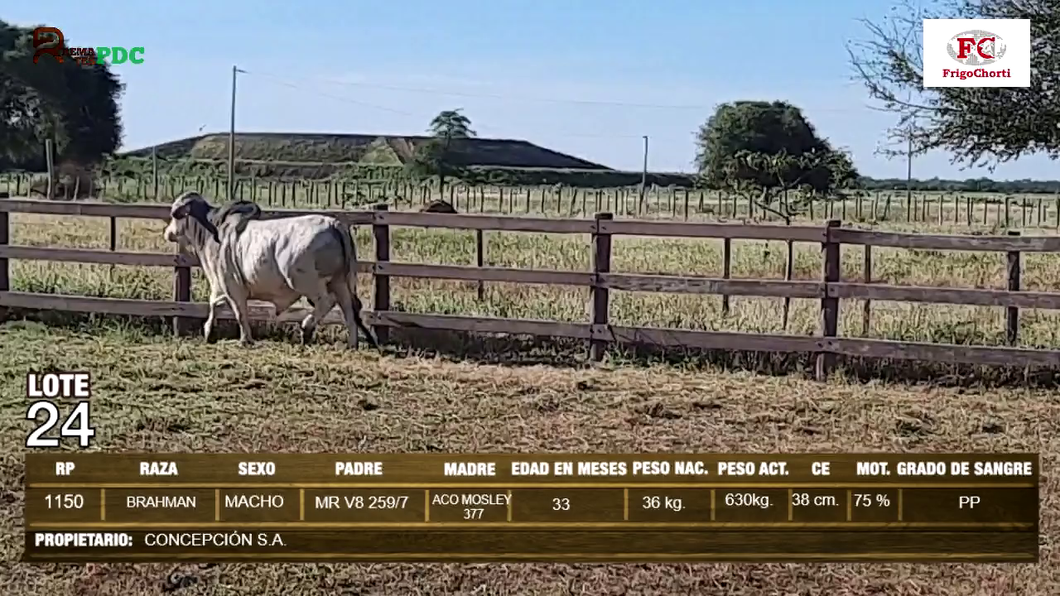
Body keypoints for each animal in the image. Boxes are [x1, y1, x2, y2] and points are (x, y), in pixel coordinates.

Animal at [163, 189, 379, 347]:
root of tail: (334, 223)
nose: (168, 233)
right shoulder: (222, 286)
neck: (214, 231)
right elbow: (215, 305)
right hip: (341, 281)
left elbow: (239, 312)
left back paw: (306, 328)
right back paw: (352, 344)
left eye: (175, 215)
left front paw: (245, 339)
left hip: (304, 281)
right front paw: (208, 332)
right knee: (348, 310)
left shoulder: (232, 285)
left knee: (326, 302)